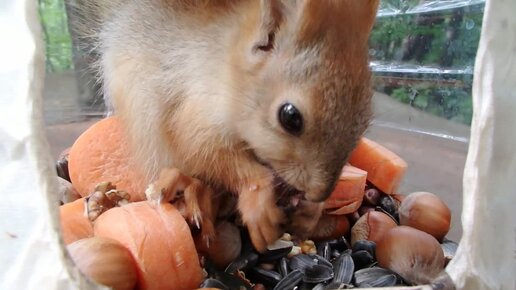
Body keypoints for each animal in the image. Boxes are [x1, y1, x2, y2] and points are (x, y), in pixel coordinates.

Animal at [70, 0, 378, 251]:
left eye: (366, 117)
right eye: (290, 116)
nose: (319, 193)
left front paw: (311, 211)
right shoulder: (196, 114)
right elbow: (204, 151)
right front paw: (258, 204)